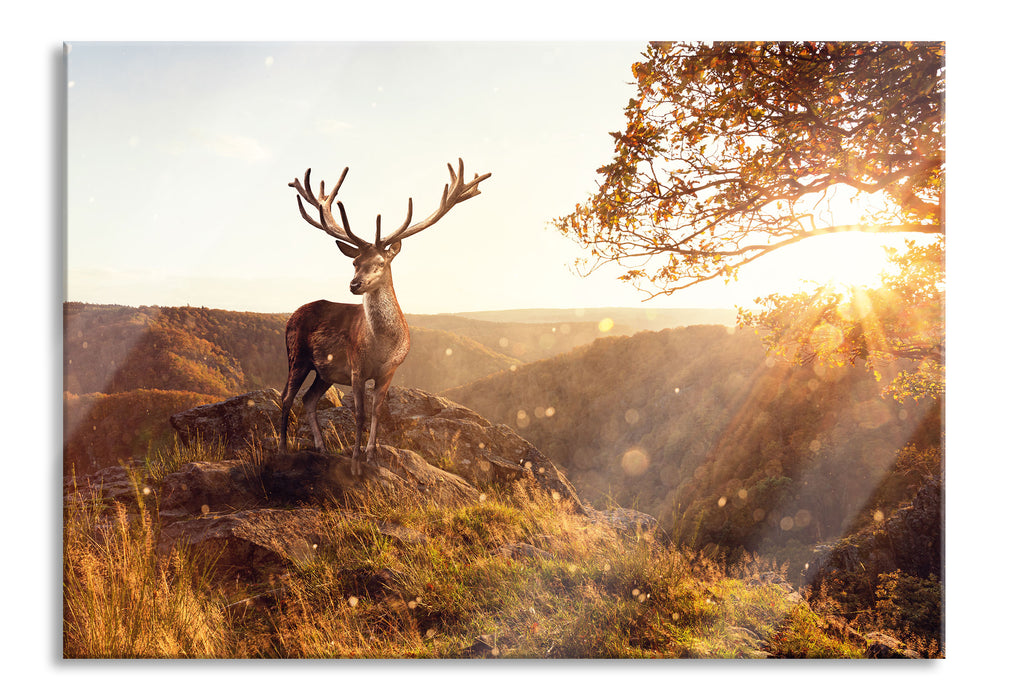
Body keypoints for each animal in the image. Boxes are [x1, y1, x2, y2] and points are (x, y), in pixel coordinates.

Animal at [280, 159, 492, 478]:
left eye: (380, 262)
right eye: (354, 262)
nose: (354, 284)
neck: (382, 345)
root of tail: (291, 317)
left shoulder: (390, 370)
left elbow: (377, 412)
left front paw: (372, 456)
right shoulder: (356, 367)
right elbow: (359, 414)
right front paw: (355, 464)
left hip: (325, 371)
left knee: (308, 398)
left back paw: (321, 447)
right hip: (298, 355)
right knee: (287, 397)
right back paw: (280, 448)